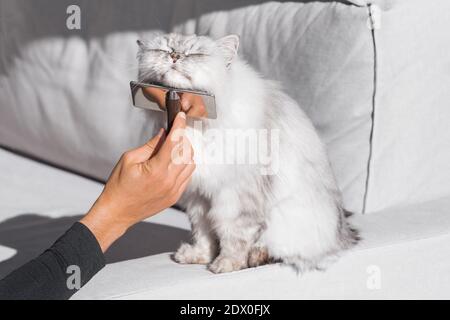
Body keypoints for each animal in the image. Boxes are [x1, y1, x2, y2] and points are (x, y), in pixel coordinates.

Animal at [137, 33, 358, 272]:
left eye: (195, 54)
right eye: (165, 49)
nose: (175, 56)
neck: (196, 124)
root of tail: (344, 234)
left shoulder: (235, 197)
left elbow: (233, 237)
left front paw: (226, 264)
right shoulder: (198, 198)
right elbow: (204, 235)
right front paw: (199, 256)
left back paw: (257, 257)